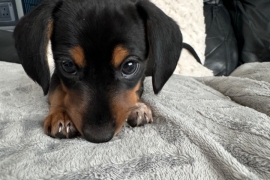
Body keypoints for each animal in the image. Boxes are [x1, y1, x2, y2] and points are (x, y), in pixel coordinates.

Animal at [13, 0, 197, 143]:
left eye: (129, 66)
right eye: (68, 65)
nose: (99, 136)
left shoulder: (141, 77)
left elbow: (135, 90)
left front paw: (138, 107)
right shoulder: (56, 75)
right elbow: (58, 91)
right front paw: (62, 115)